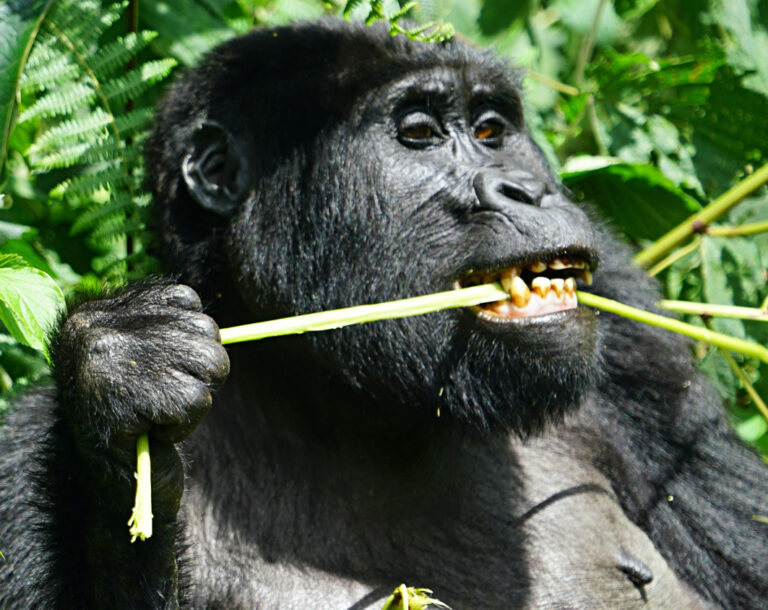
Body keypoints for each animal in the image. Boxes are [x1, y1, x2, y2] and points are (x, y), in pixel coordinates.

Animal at [1, 19, 768, 608]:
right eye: (420, 135)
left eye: (491, 131)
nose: (528, 189)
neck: (351, 403)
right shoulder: (26, 441)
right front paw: (119, 366)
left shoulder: (637, 348)